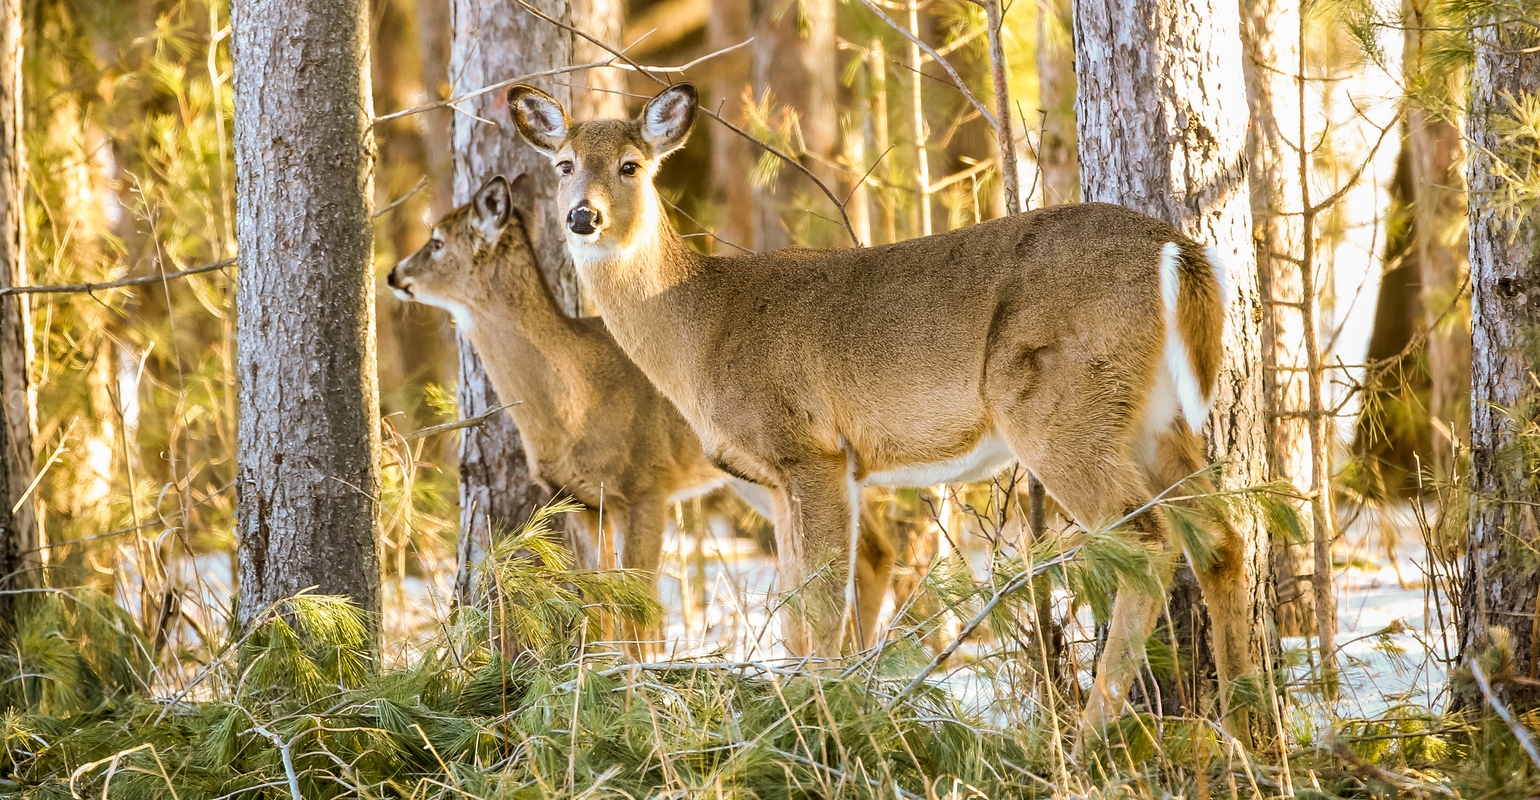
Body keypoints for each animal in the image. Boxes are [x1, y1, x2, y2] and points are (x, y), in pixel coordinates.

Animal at [385, 173, 899, 644]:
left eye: (437, 241)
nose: (393, 275)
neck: (574, 400)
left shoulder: (648, 483)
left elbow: (639, 613)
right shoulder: (580, 499)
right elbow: (597, 607)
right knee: (873, 551)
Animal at [511, 82, 1256, 746]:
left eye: (631, 165)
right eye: (564, 164)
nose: (582, 217)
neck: (698, 325)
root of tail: (1179, 252)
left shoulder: (808, 449)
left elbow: (818, 611)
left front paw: (819, 724)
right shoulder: (781, 476)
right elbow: (795, 612)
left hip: (1058, 405)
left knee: (1147, 543)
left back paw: (1087, 741)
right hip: (1157, 419)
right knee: (1222, 536)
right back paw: (1249, 722)